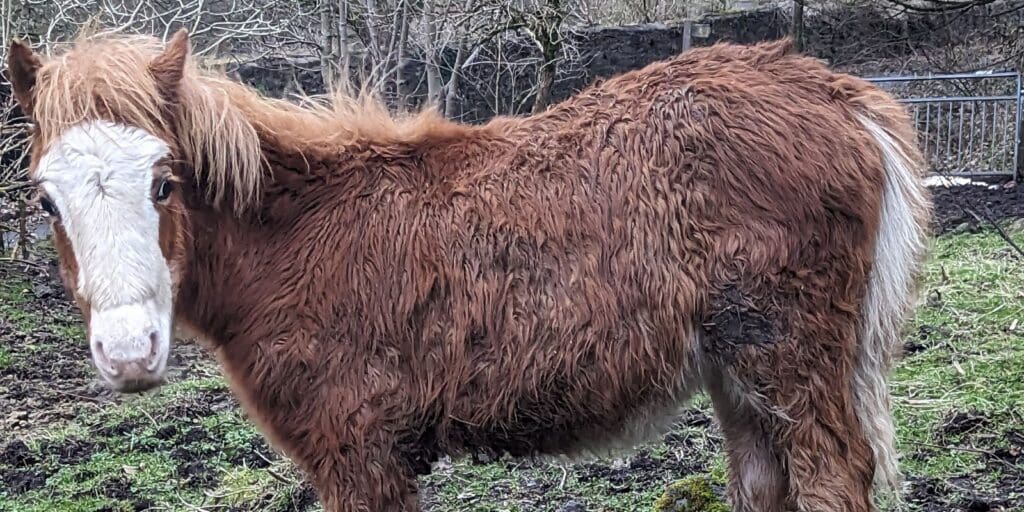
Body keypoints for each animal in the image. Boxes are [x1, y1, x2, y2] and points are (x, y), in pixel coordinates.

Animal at [6, 28, 931, 511]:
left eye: (163, 183)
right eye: (45, 200)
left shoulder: (361, 455)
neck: (301, 237)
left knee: (832, 474)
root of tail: (836, 92)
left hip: (789, 353)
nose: (129, 355)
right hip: (735, 368)